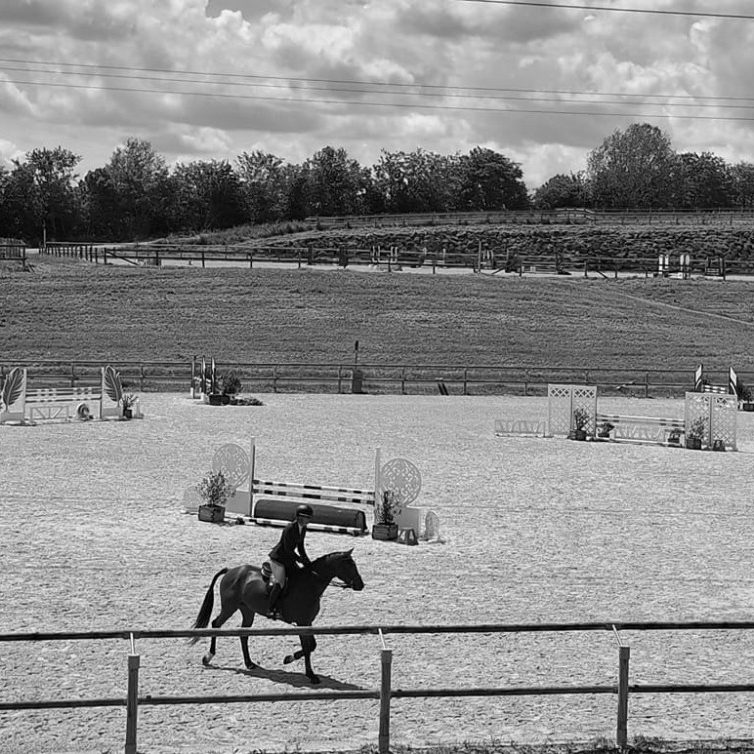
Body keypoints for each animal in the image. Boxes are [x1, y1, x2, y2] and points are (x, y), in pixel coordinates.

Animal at [189, 548, 362, 680]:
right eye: (349, 566)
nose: (361, 585)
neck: (309, 585)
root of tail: (231, 570)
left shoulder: (307, 622)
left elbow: (311, 646)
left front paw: (293, 661)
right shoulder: (302, 622)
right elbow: (308, 647)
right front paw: (308, 673)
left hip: (247, 610)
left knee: (243, 634)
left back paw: (249, 663)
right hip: (229, 607)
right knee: (216, 624)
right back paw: (208, 656)